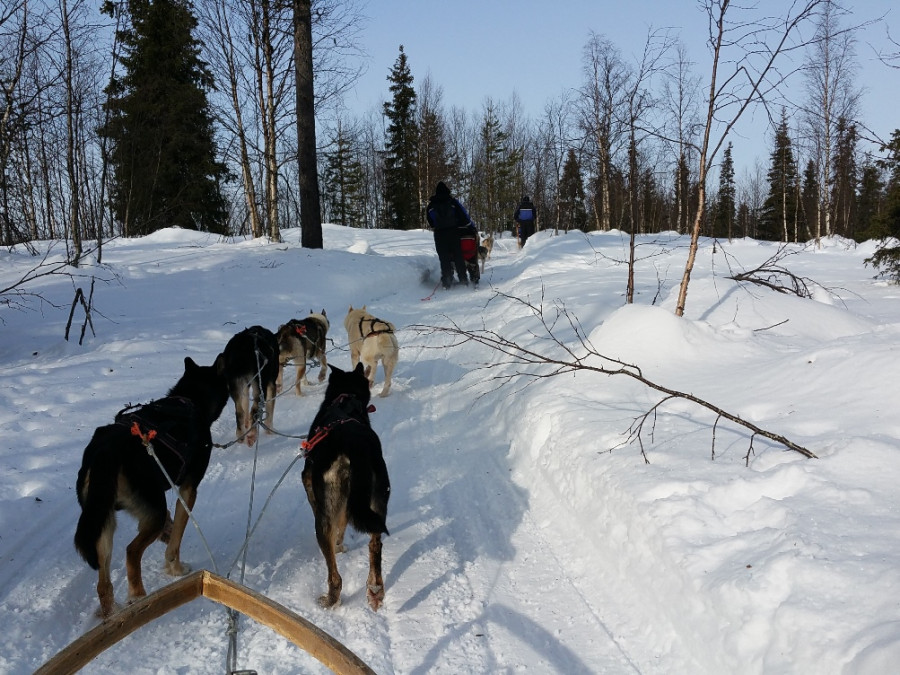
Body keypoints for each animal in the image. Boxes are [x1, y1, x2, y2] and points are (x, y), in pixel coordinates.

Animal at [74, 356, 229, 620]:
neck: (190, 398)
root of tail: (105, 451)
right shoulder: (187, 490)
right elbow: (177, 536)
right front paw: (176, 568)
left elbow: (171, 525)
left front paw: (168, 536)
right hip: (146, 510)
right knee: (131, 552)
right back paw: (138, 597)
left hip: (103, 520)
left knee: (103, 584)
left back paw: (112, 613)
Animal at [302, 364, 390, 612]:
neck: (345, 399)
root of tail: (355, 446)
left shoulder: (308, 481)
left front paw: (338, 546)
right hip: (378, 502)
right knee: (375, 545)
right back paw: (375, 590)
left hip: (323, 519)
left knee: (335, 576)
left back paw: (330, 600)